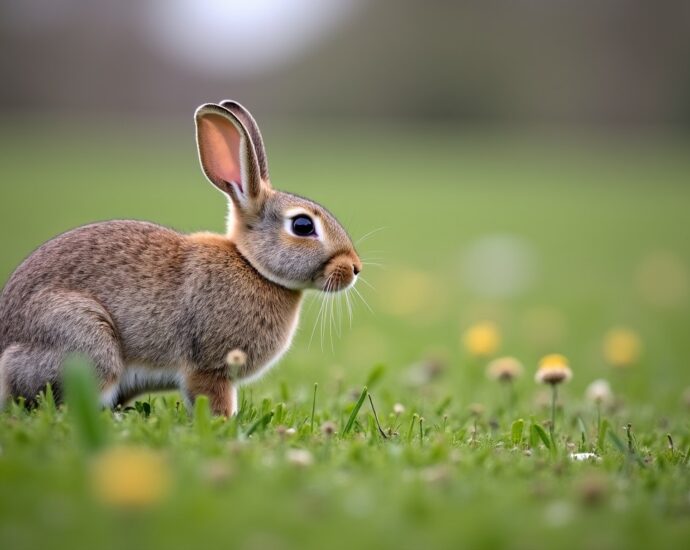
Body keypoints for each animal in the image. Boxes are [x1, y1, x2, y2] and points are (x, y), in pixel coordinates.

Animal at [0, 100, 362, 416]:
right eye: (302, 225)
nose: (355, 268)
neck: (252, 265)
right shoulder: (208, 368)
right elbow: (212, 398)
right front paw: (224, 423)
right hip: (86, 340)